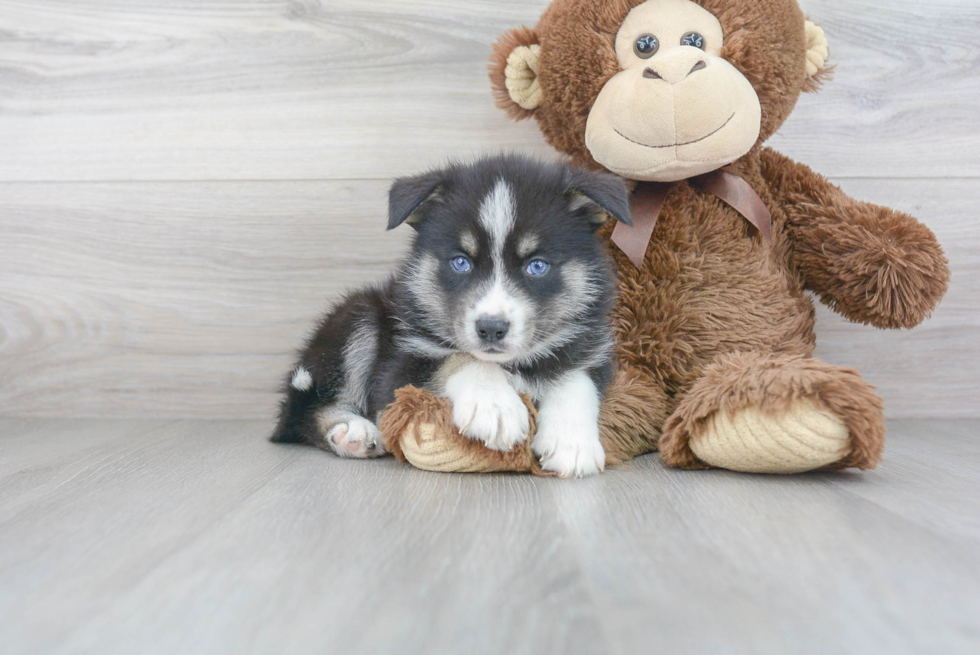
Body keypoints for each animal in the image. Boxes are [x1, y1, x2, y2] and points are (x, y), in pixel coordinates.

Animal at [272, 156, 632, 480]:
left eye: (537, 266)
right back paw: (352, 431)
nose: (491, 329)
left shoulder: (590, 348)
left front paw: (571, 441)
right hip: (359, 315)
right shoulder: (397, 373)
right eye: (461, 262)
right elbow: (459, 358)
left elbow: (576, 379)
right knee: (307, 411)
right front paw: (494, 405)